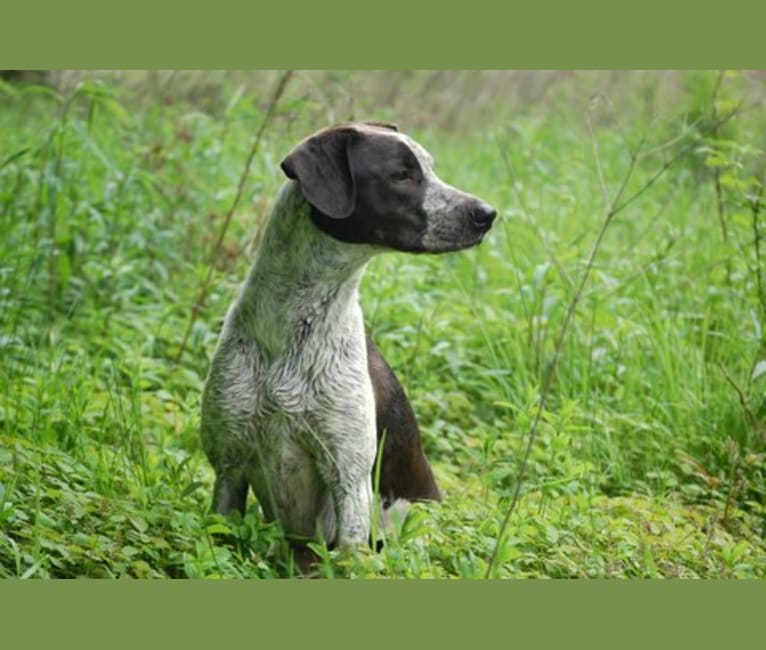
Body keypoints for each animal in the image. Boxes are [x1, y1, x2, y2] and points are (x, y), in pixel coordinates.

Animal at [201, 123, 496, 556]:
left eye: (430, 167)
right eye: (401, 174)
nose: (487, 214)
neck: (292, 327)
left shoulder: (348, 480)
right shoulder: (228, 468)